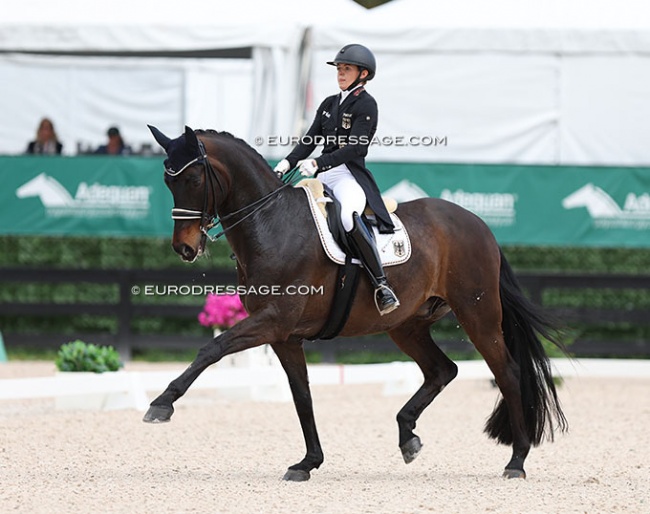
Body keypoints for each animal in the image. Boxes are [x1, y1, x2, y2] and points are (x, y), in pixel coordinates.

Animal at [143, 124, 568, 480]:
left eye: (193, 178)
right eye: (166, 179)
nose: (184, 248)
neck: (271, 223)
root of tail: (479, 224)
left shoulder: (273, 320)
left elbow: (211, 348)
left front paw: (161, 404)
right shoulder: (284, 336)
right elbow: (302, 395)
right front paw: (308, 463)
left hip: (477, 313)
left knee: (507, 373)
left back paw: (516, 461)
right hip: (407, 326)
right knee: (442, 370)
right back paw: (407, 436)